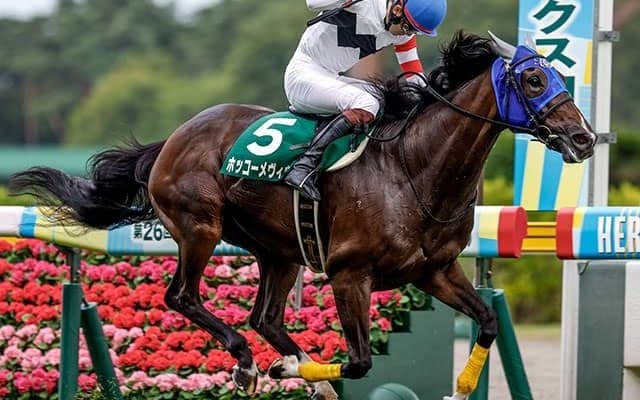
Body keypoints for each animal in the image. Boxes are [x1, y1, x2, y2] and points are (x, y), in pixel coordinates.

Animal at [9, 31, 596, 400]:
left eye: (558, 75)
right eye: (535, 81)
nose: (584, 138)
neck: (415, 169)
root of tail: (172, 139)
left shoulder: (436, 271)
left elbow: (489, 321)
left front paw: (465, 387)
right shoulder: (349, 274)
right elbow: (360, 361)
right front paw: (299, 368)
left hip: (279, 249)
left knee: (265, 316)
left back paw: (294, 366)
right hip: (201, 227)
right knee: (184, 298)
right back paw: (252, 362)